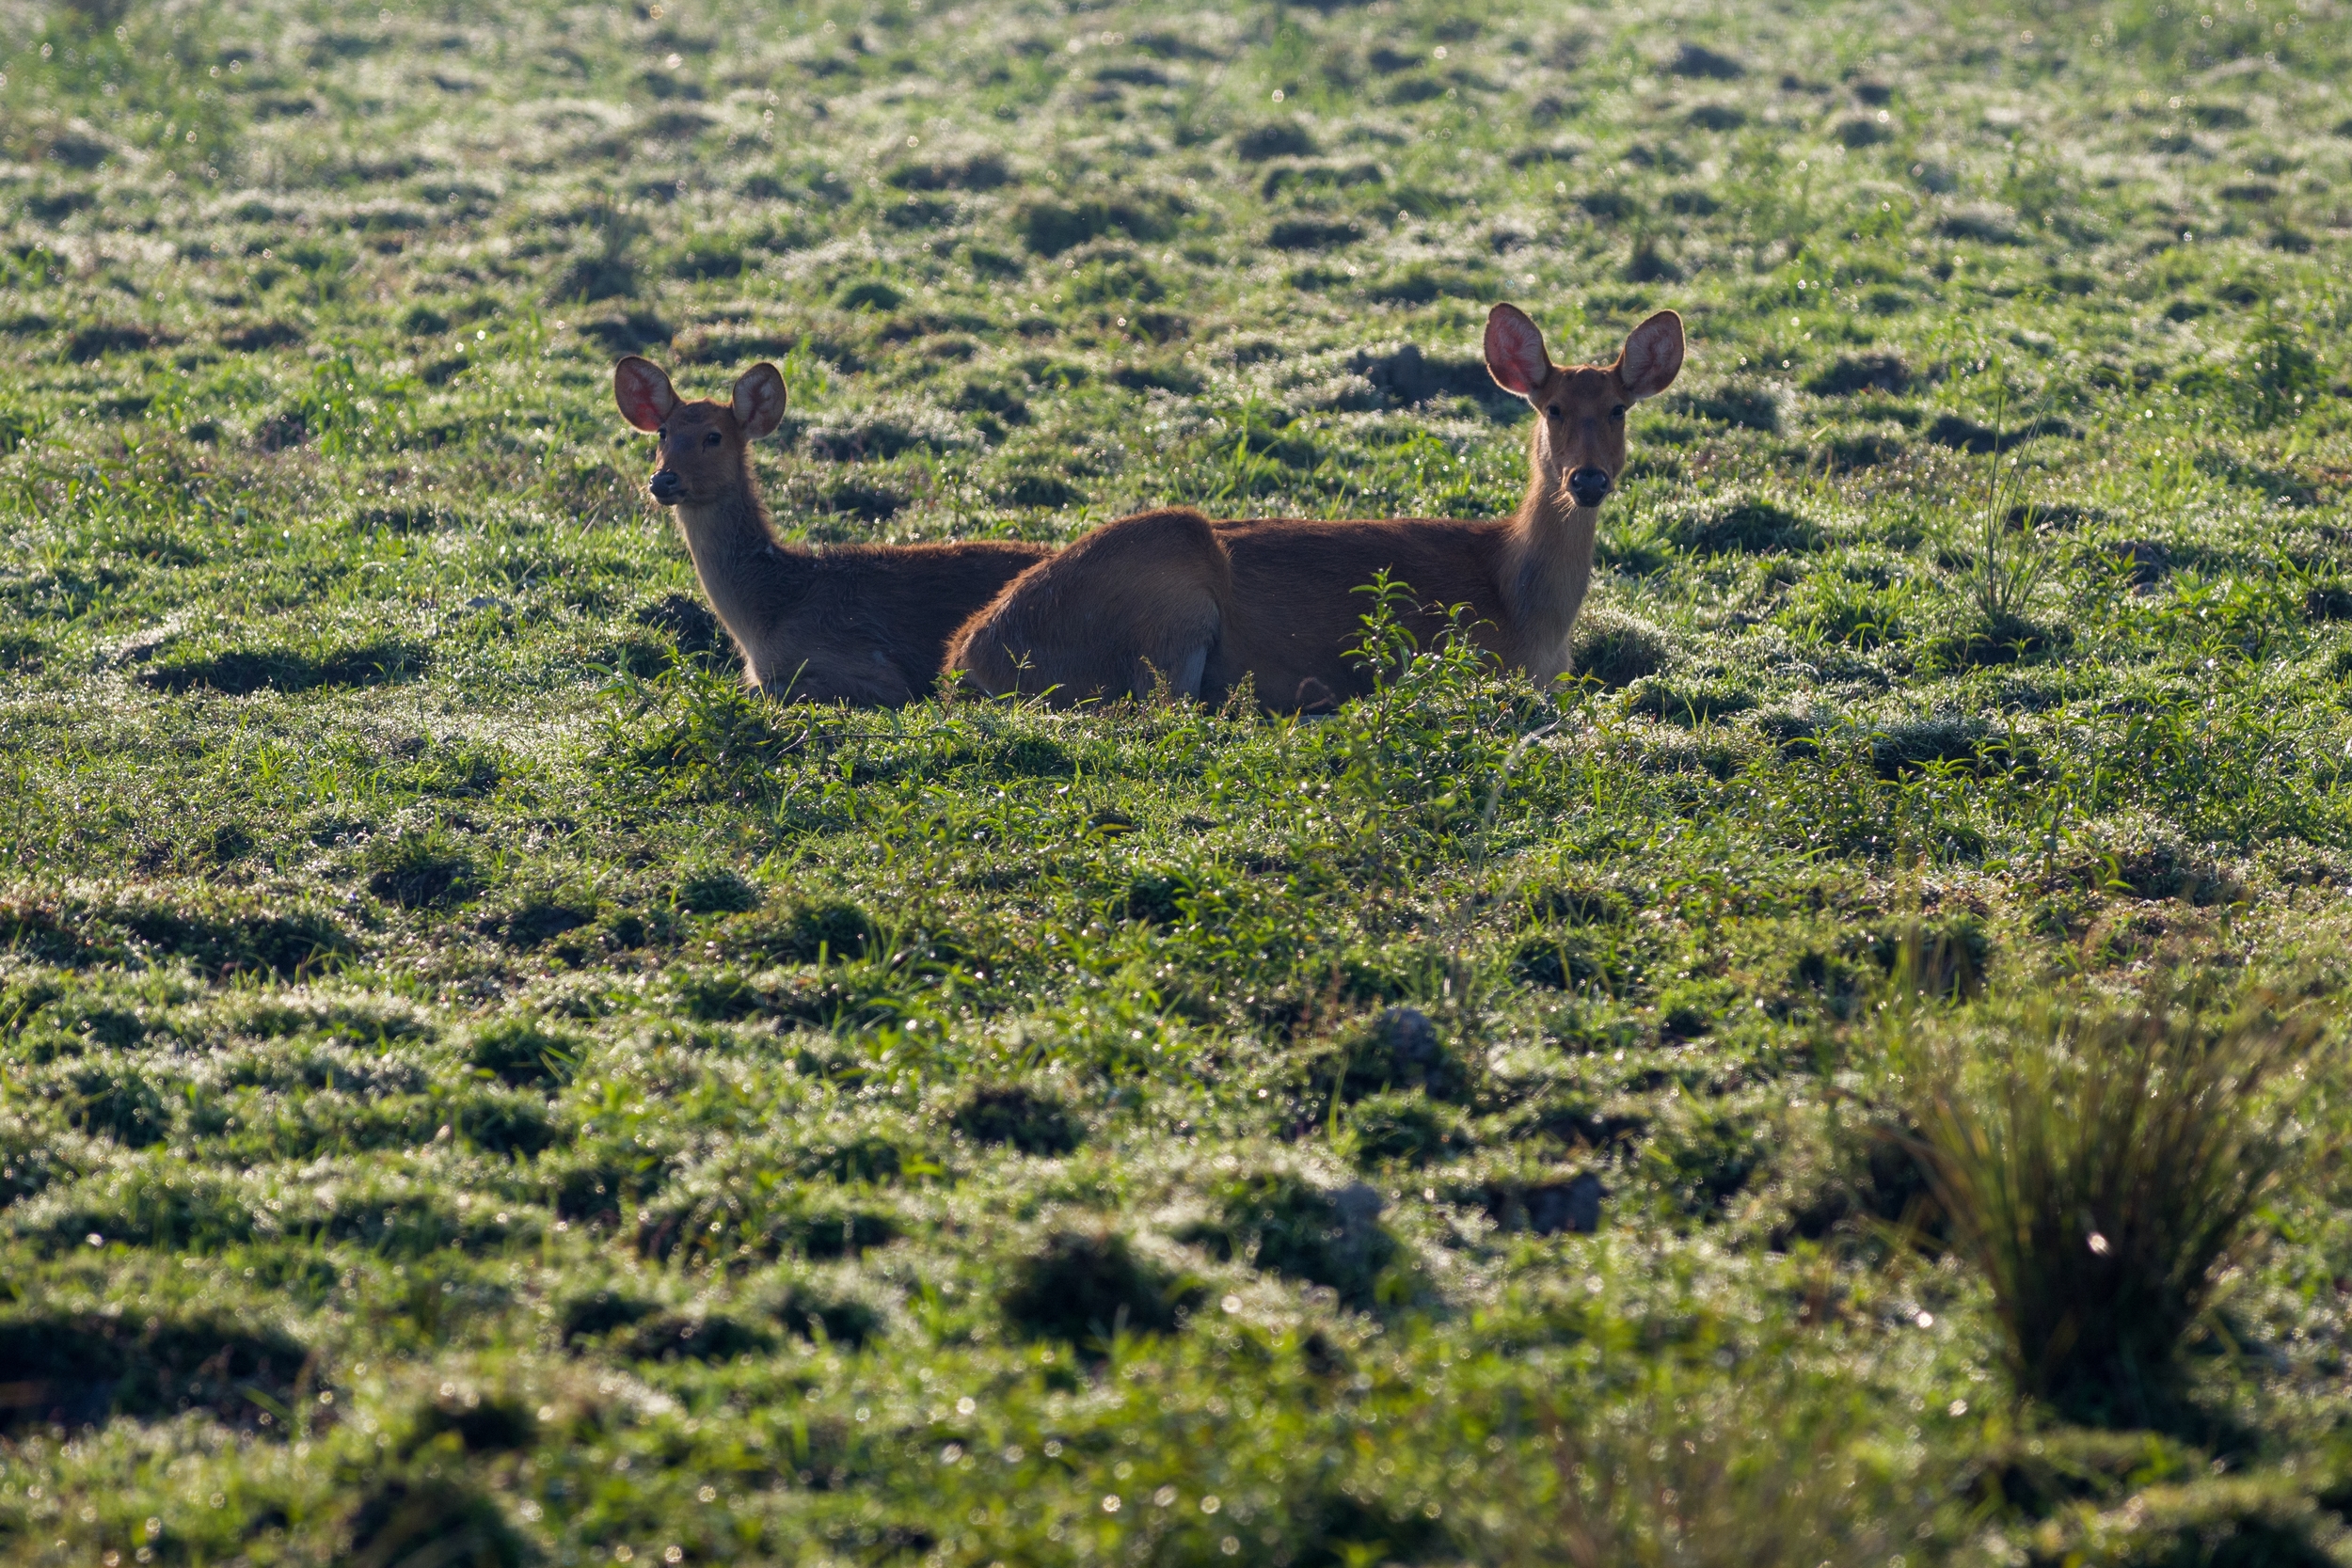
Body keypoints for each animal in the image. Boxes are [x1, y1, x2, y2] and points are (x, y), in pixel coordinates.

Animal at [616, 359, 1049, 709]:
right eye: (663, 433)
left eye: (714, 436)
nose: (663, 480)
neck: (765, 615)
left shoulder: (871, 668)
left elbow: (758, 689)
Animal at [946, 305, 1684, 709]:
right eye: (1551, 408)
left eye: (1617, 410)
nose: (1587, 479)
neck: (1526, 608)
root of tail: (971, 653)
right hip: (1166, 600)